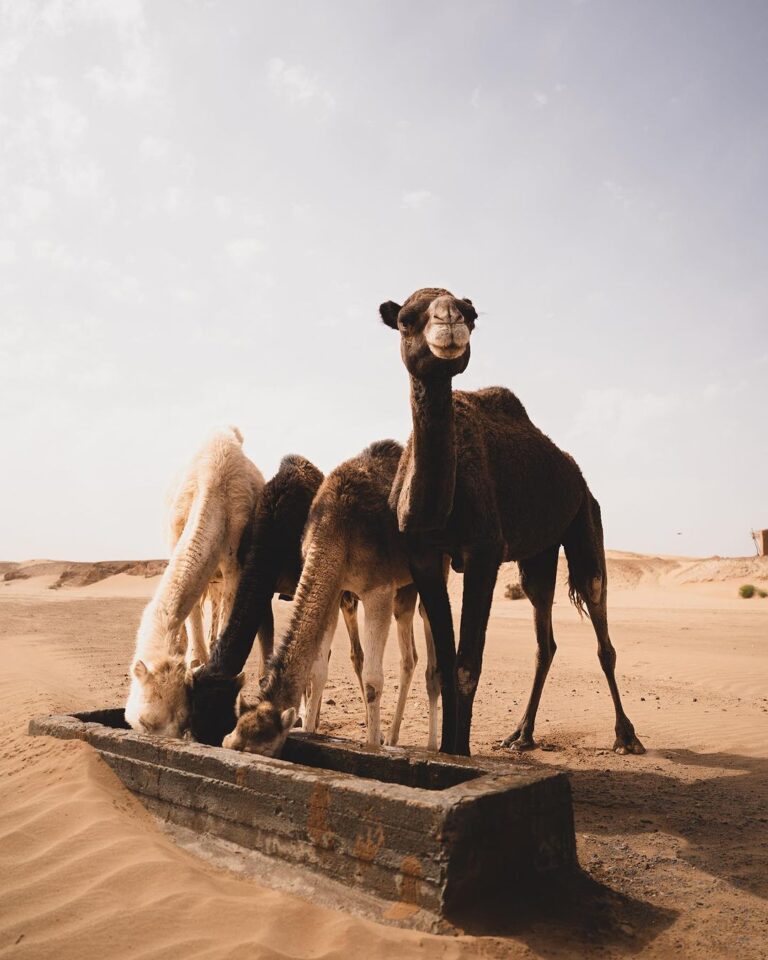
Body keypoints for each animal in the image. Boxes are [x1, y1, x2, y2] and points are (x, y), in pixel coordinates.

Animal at [220, 442, 438, 756]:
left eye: (264, 750)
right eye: (230, 742)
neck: (335, 531)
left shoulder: (378, 589)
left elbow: (373, 679)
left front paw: (372, 745)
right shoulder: (335, 589)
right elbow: (318, 670)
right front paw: (310, 730)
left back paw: (432, 744)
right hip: (404, 591)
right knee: (409, 655)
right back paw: (393, 737)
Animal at [380, 284, 644, 756]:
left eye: (470, 313)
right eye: (406, 319)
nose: (450, 319)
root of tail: (573, 469)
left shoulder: (484, 552)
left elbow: (467, 664)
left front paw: (460, 752)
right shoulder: (422, 554)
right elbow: (445, 664)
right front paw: (446, 750)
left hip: (585, 517)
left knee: (600, 621)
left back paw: (625, 735)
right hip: (539, 553)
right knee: (544, 636)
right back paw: (521, 734)